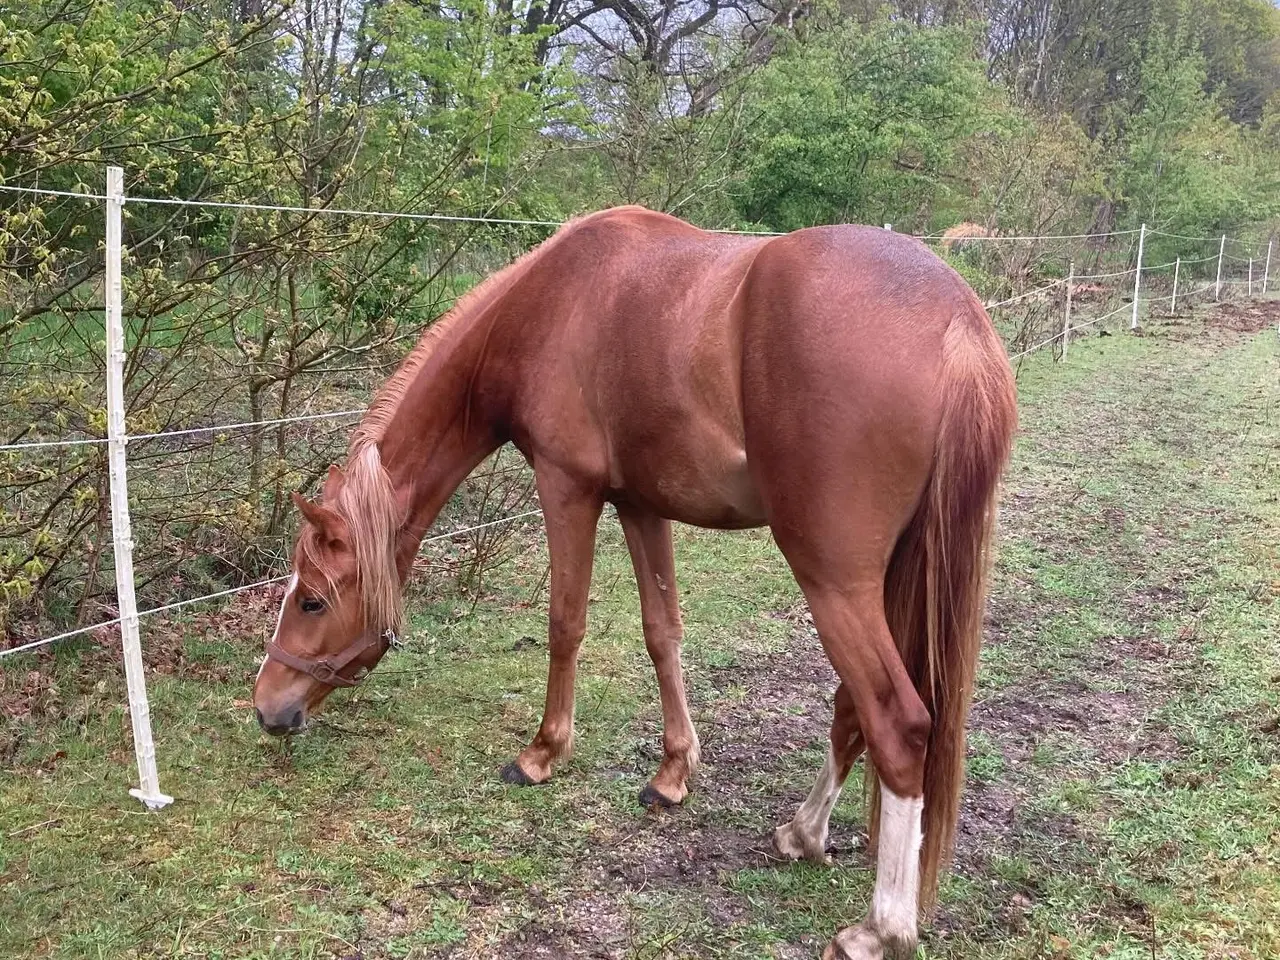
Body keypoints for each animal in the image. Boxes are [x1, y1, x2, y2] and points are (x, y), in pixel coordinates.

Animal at [252, 205, 1017, 960]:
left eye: (312, 600)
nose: (267, 707)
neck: (544, 306)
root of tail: (957, 323)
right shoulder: (642, 505)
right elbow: (662, 634)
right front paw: (673, 774)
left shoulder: (568, 488)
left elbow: (566, 622)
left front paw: (541, 754)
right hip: (885, 578)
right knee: (854, 708)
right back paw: (802, 832)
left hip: (834, 581)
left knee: (899, 722)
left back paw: (880, 928)